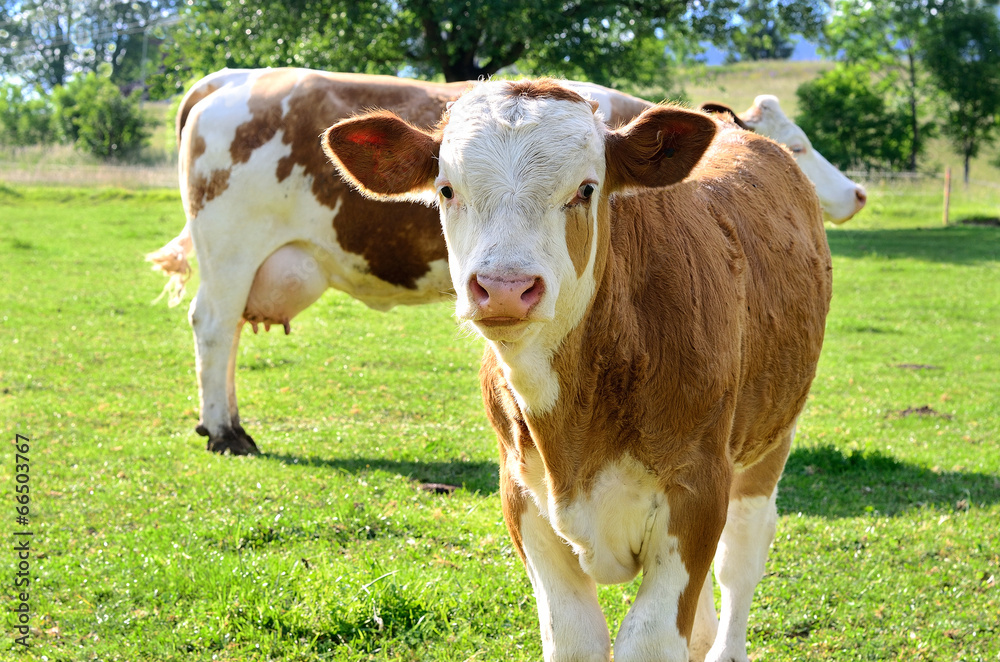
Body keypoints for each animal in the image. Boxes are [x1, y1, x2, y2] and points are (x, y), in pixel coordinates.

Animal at [145, 67, 651, 455]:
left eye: (586, 189)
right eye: (446, 188)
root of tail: (234, 76)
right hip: (230, 249)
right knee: (213, 325)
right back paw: (224, 432)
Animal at [323, 79, 832, 662]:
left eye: (586, 189)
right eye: (447, 190)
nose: (504, 287)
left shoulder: (698, 490)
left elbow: (652, 639)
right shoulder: (521, 497)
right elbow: (574, 636)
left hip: (770, 439)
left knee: (739, 563)